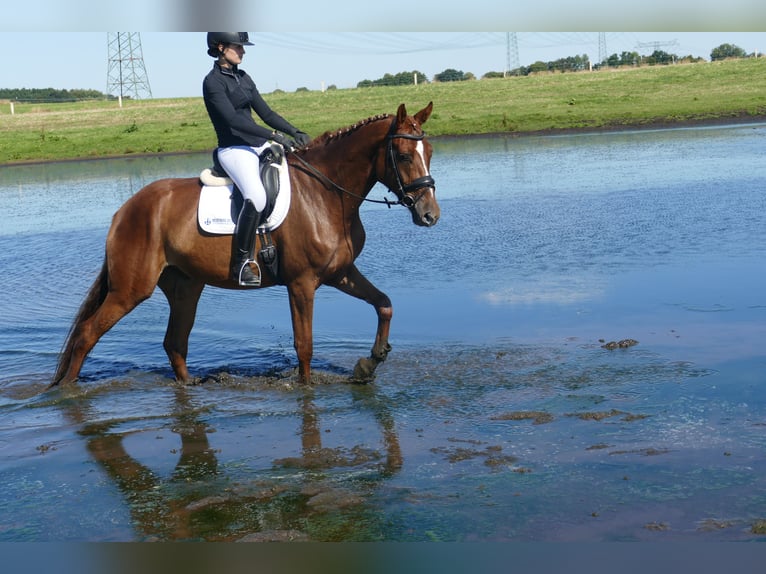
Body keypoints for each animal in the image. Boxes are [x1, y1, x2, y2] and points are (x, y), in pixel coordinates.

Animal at [49, 102, 440, 388]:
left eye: (430, 151)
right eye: (404, 155)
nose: (429, 214)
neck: (327, 193)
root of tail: (125, 210)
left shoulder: (340, 273)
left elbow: (384, 304)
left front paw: (370, 362)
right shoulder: (301, 284)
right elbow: (304, 346)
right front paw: (308, 389)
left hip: (184, 287)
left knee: (174, 343)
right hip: (130, 290)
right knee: (86, 335)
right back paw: (67, 393)